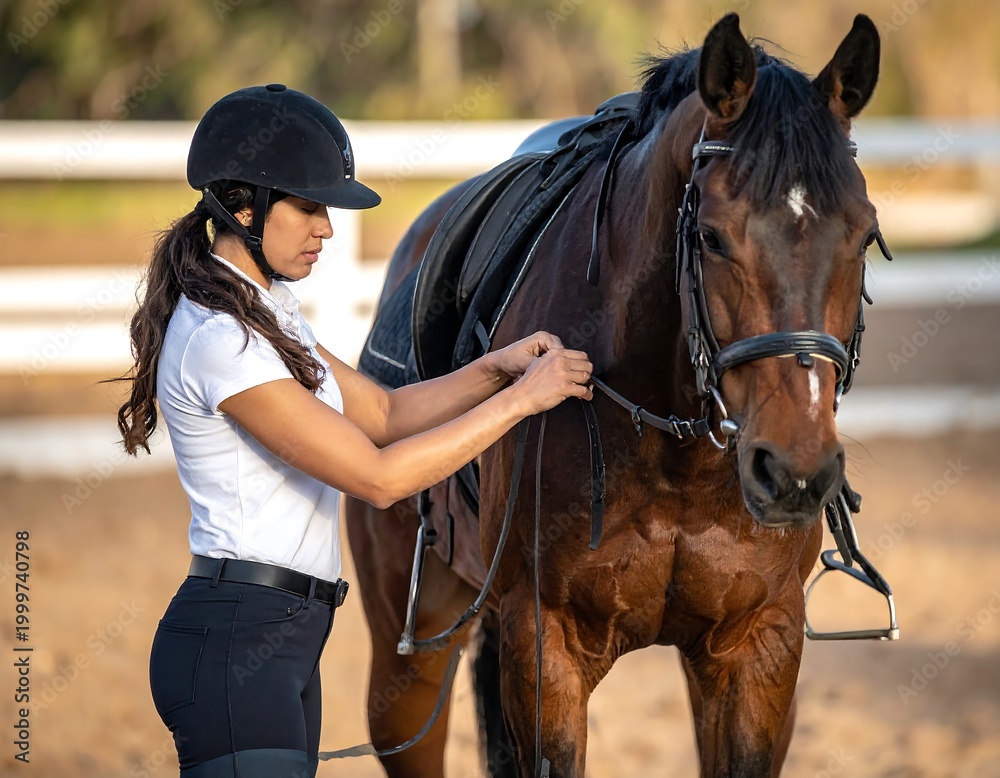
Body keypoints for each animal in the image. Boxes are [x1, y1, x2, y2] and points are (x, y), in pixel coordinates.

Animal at [345, 13, 885, 777]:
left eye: (863, 234)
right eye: (712, 237)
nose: (795, 472)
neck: (676, 453)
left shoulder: (760, 644)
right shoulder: (546, 644)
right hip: (409, 667)